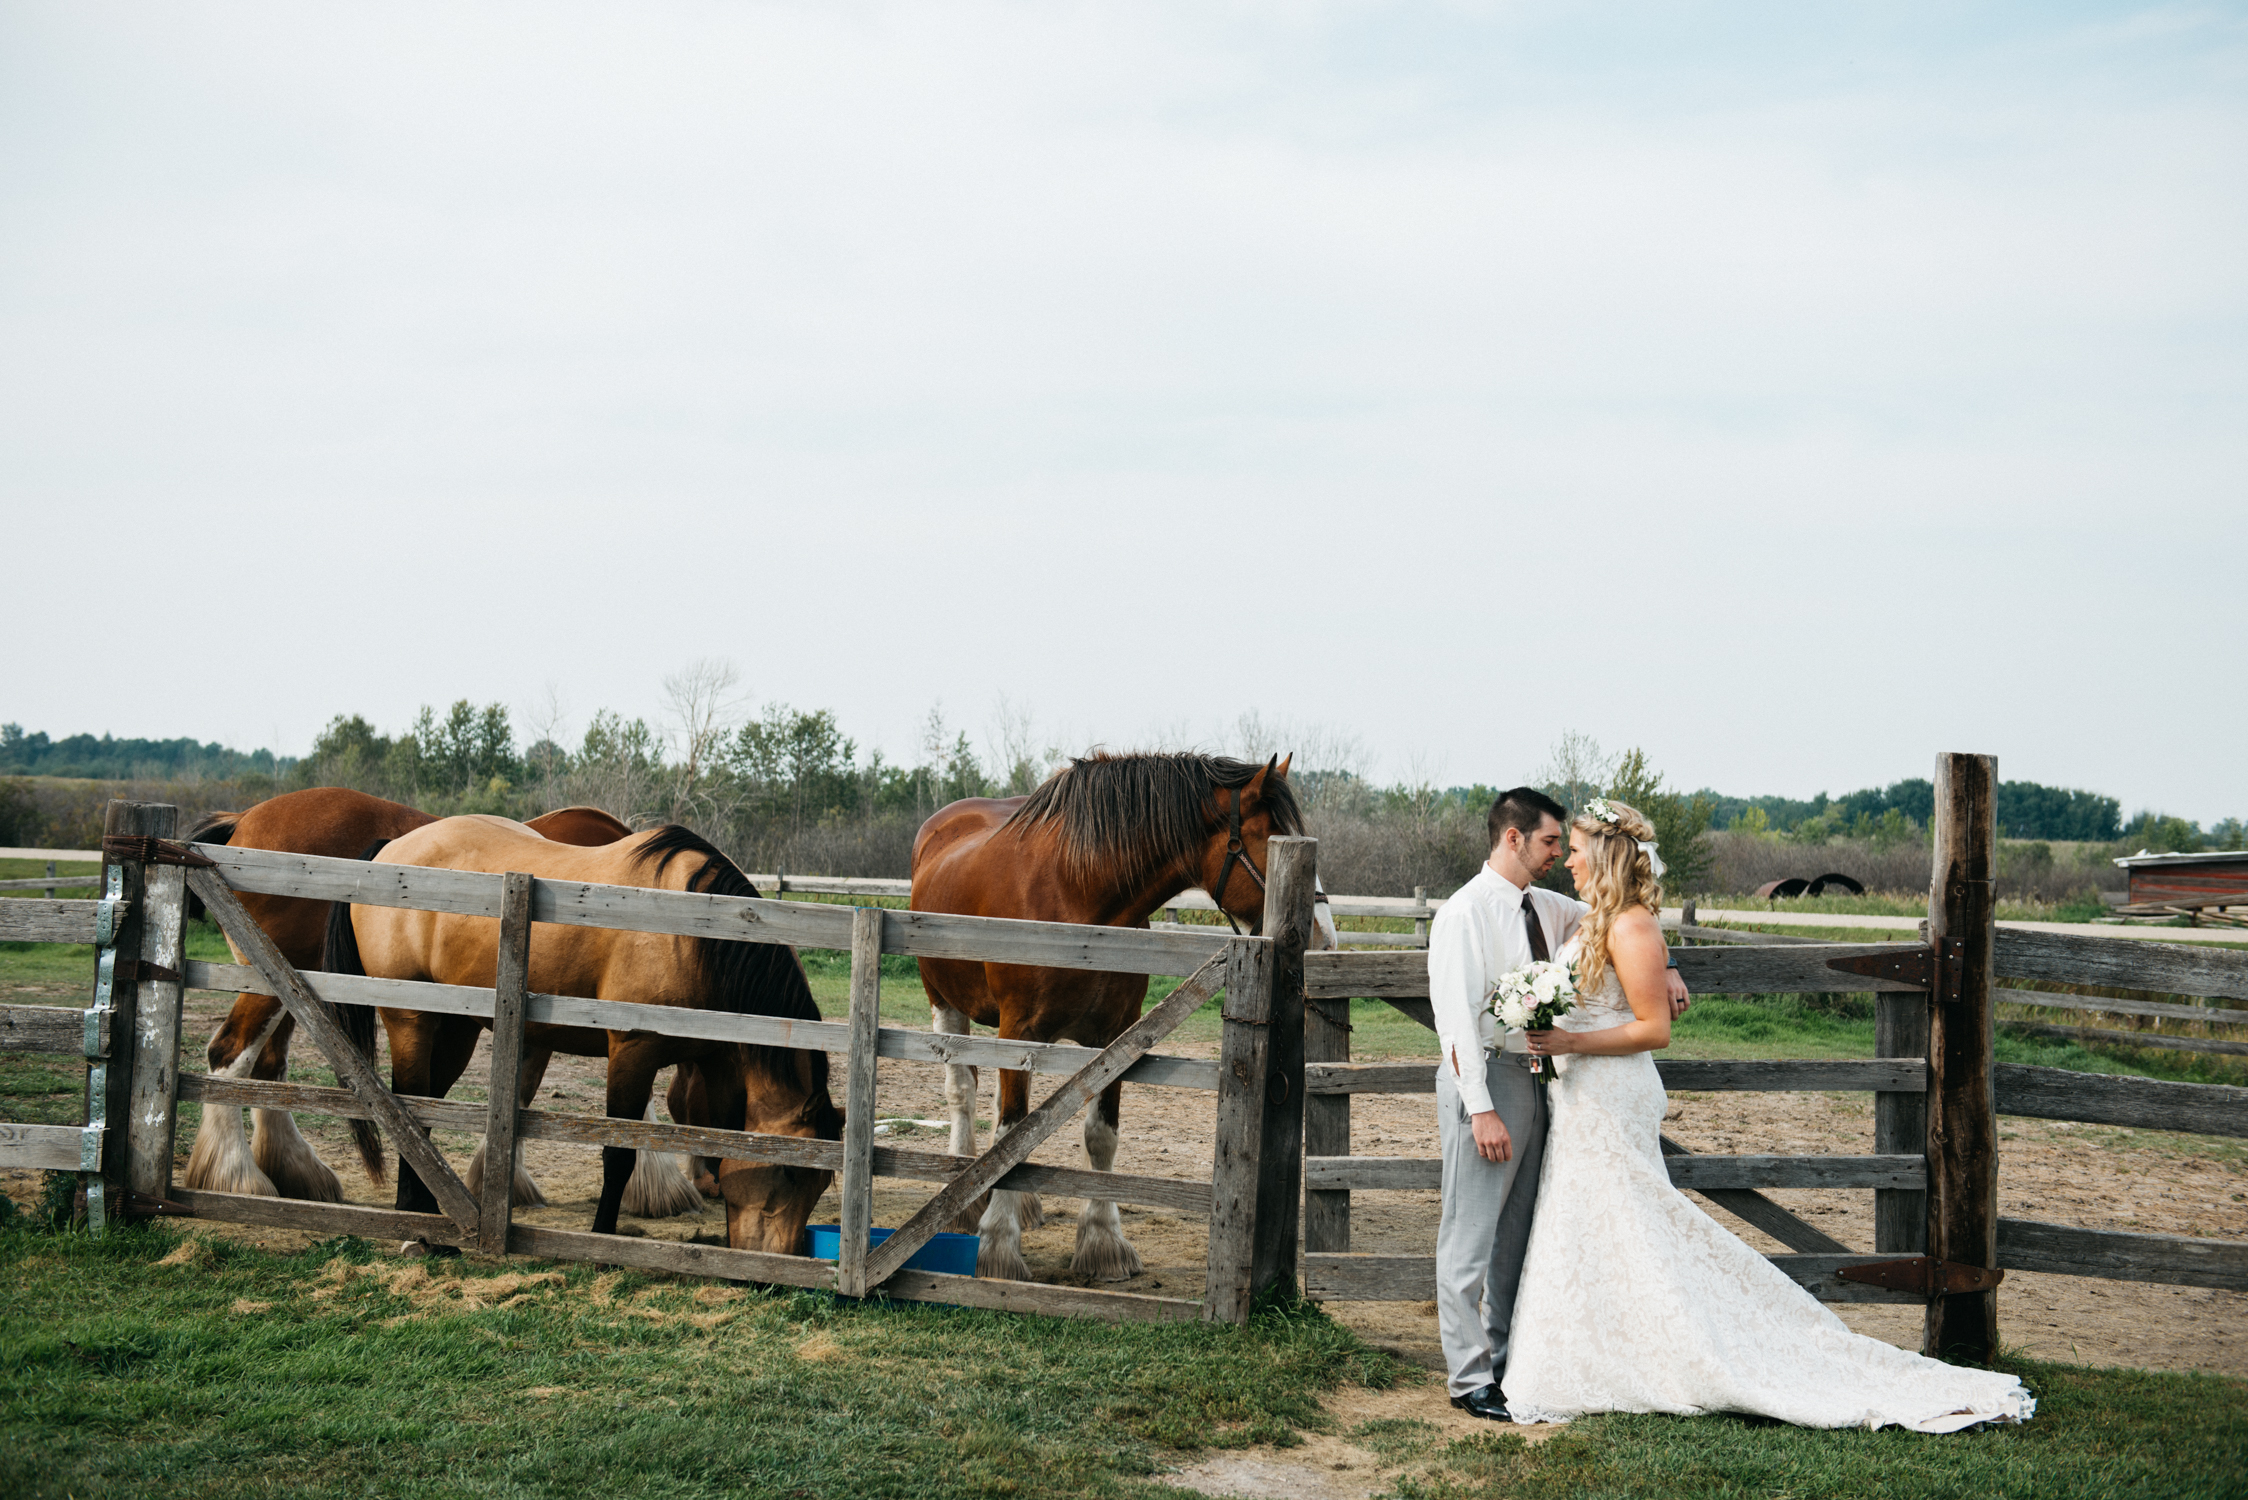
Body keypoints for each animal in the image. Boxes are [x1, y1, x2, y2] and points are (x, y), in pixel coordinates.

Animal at [173, 791, 633, 1205]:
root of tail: (244, 818)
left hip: (291, 986)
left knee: (266, 1067)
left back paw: (297, 1171)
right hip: (271, 979)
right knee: (229, 1052)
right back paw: (234, 1175)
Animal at [321, 814, 840, 1250]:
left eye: (821, 1183)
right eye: (791, 1173)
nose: (781, 1260)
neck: (696, 936)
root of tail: (391, 848)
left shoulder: (717, 1065)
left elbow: (719, 1143)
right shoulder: (633, 1053)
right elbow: (619, 1156)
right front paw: (603, 1237)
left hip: (455, 1031)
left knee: (424, 1113)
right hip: (412, 1020)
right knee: (407, 1105)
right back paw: (416, 1223)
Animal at [908, 751, 1312, 1277]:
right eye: (1270, 839)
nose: (1322, 934)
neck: (1076, 898)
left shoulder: (1115, 1038)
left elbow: (1098, 1135)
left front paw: (1103, 1241)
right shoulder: (1018, 1030)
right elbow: (1011, 1129)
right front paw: (997, 1245)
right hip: (945, 1002)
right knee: (962, 1094)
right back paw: (965, 1202)